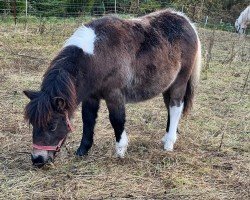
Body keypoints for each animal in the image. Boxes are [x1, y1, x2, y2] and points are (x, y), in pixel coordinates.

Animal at [23, 8, 201, 166]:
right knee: (170, 108)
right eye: (32, 123)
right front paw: (82, 151)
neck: (96, 57)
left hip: (179, 81)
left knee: (175, 107)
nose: (37, 160)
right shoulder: (91, 97)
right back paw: (168, 136)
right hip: (167, 85)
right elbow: (88, 120)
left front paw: (120, 151)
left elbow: (117, 120)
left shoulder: (114, 95)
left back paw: (169, 144)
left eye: (52, 126)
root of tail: (186, 22)